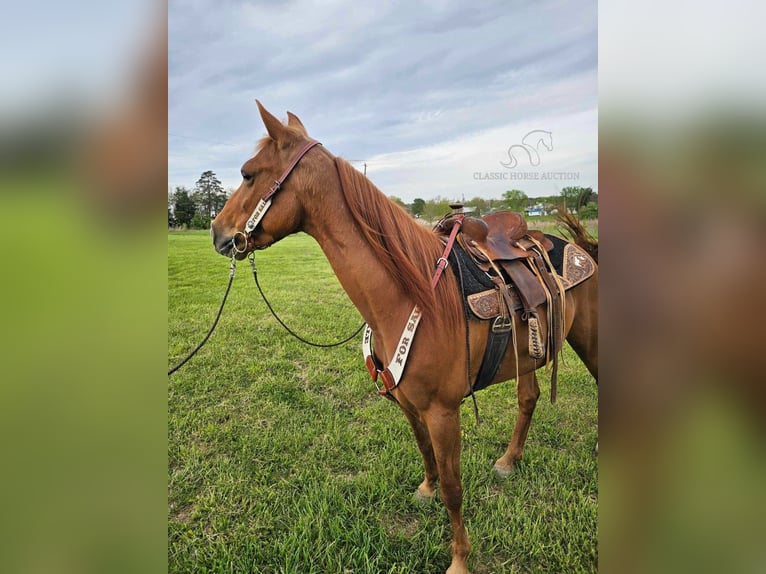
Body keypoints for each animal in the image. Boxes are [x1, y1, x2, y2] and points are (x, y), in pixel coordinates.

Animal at [210, 103, 600, 574]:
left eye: (249, 174)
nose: (217, 232)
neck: (412, 298)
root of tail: (582, 248)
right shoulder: (408, 403)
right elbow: (425, 454)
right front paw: (426, 489)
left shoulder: (444, 412)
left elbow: (454, 488)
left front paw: (459, 558)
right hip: (527, 353)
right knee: (529, 398)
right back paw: (509, 461)